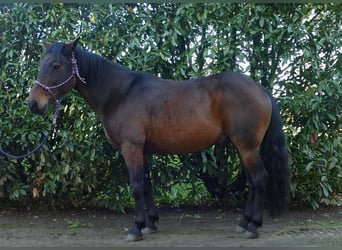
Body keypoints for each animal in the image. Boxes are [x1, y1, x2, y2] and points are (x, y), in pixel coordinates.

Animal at [28, 38, 288, 241]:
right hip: (243, 147)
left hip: (247, 147)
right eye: (41, 65)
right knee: (253, 181)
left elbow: (135, 186)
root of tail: (262, 90)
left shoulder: (131, 148)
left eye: (56, 66)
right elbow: (146, 185)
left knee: (259, 178)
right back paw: (244, 223)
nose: (33, 103)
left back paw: (253, 226)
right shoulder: (142, 150)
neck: (120, 94)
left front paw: (136, 228)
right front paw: (150, 224)